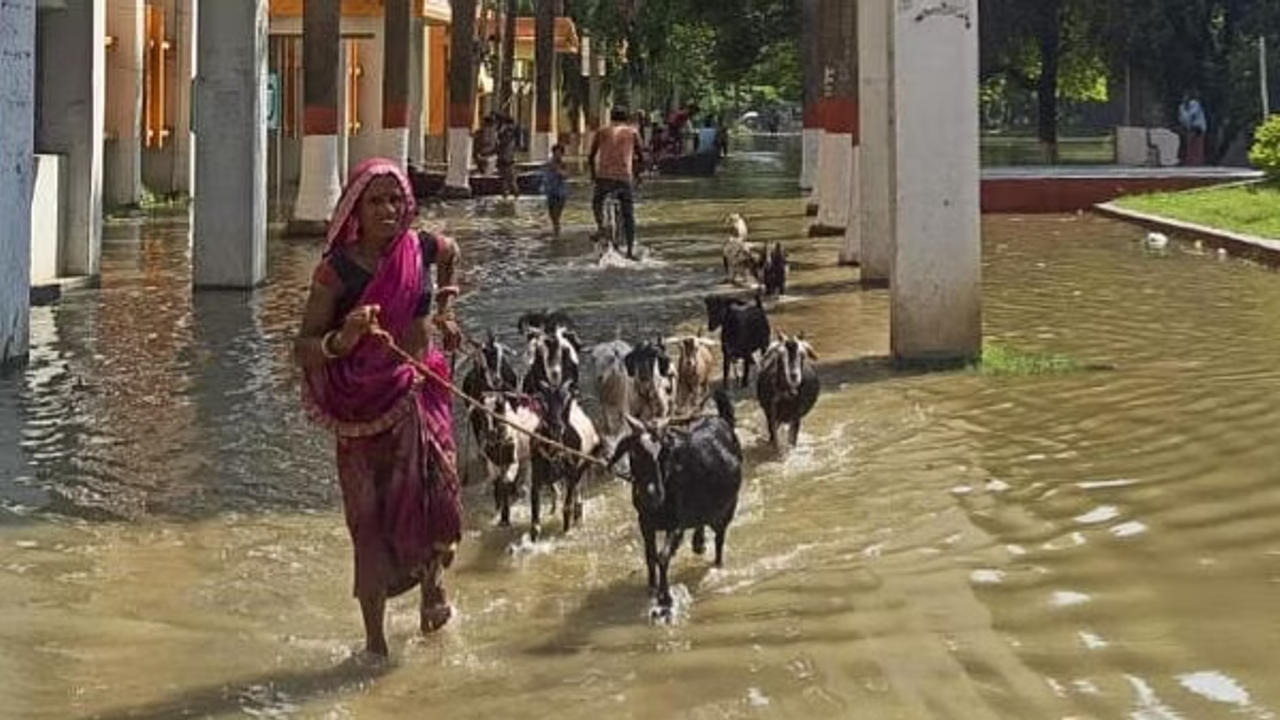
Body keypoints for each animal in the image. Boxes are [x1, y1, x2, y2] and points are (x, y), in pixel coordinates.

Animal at [606, 389, 742, 607]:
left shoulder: (676, 525)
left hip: (727, 510)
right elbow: (650, 555)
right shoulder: (644, 522)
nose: (652, 494)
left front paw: (665, 596)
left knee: (720, 540)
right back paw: (698, 543)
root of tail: (722, 421)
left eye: (662, 453)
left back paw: (717, 564)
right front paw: (651, 587)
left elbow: (662, 557)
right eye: (634, 452)